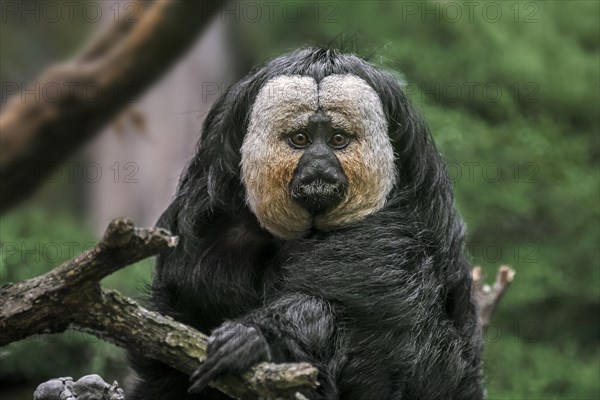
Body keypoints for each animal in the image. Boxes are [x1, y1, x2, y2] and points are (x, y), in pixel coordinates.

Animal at [126, 47, 482, 400]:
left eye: (338, 139)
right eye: (300, 139)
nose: (319, 165)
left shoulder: (395, 232)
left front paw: (254, 339)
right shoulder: (211, 217)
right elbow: (181, 308)